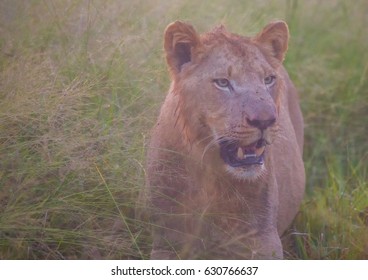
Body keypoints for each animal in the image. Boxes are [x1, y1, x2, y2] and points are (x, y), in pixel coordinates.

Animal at [144, 20, 304, 260]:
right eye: (222, 82)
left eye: (268, 80)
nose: (265, 121)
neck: (210, 176)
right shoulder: (167, 242)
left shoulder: (263, 240)